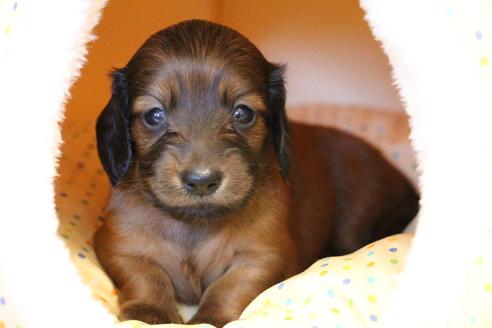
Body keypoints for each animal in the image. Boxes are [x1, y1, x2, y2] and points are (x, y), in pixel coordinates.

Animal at [93, 19, 418, 326]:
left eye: (242, 113)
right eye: (154, 115)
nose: (202, 181)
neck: (195, 224)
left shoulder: (264, 255)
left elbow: (229, 286)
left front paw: (211, 318)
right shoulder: (119, 245)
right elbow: (145, 276)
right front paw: (151, 313)